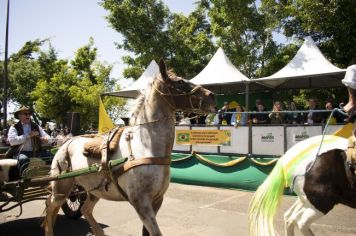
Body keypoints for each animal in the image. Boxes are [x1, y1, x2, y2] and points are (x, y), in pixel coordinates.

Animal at [41, 59, 214, 236]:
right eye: (179, 82)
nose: (211, 96)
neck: (146, 148)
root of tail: (65, 144)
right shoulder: (141, 203)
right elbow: (155, 233)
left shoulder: (157, 200)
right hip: (61, 190)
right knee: (50, 207)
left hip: (94, 190)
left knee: (85, 209)